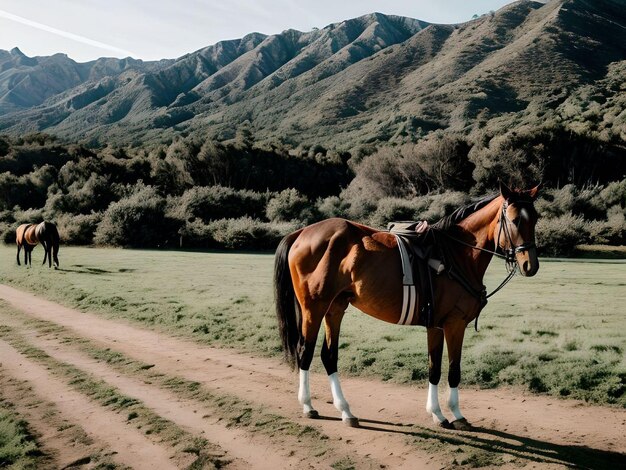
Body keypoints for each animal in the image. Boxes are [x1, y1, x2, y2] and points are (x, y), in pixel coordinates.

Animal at [276, 183, 540, 430]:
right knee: (305, 352)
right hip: (314, 309)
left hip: (335, 309)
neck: (456, 255)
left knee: (329, 356)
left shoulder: (436, 326)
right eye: (515, 220)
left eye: (535, 218)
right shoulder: (454, 324)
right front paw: (456, 414)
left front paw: (437, 413)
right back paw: (308, 406)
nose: (531, 265)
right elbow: (453, 370)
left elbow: (434, 368)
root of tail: (301, 232)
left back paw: (346, 411)